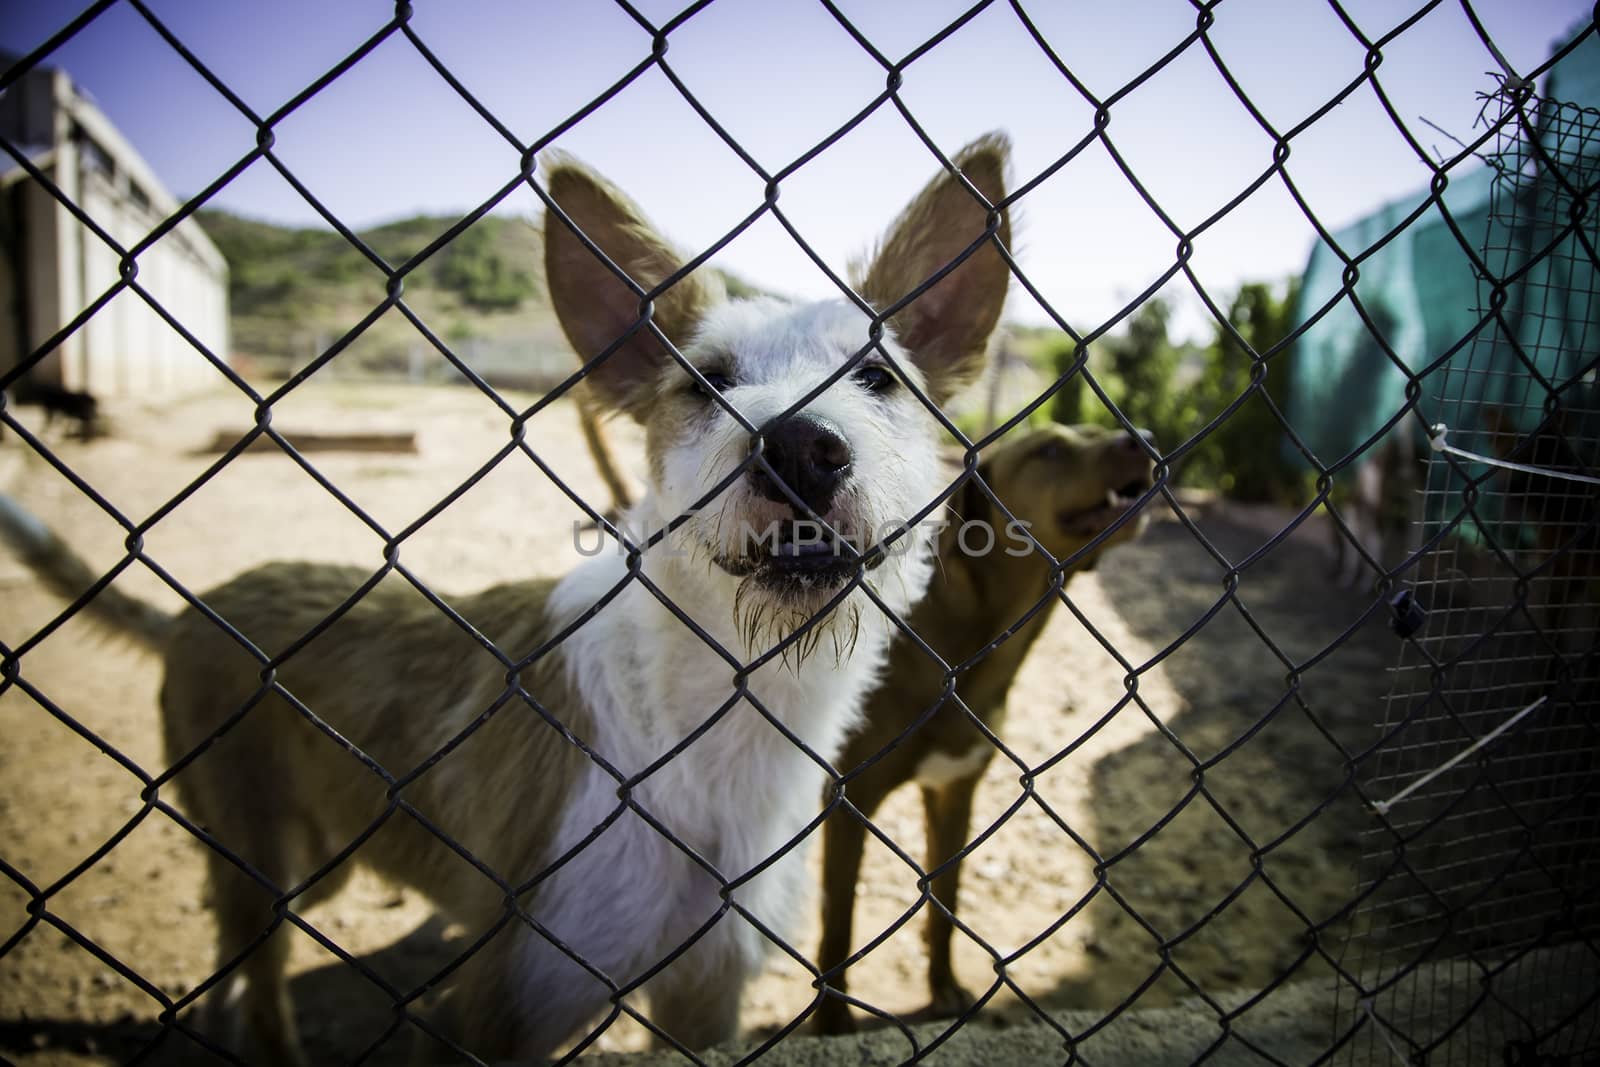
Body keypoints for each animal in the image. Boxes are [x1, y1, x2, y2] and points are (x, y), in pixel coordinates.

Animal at [0, 133, 1011, 1062]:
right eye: (706, 381)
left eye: (879, 378)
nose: (800, 447)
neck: (720, 707)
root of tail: (195, 608)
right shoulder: (510, 993)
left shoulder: (707, 988)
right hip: (261, 857)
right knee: (259, 974)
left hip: (308, 860)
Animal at [812, 422, 1152, 1036]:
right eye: (1049, 450)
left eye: (1097, 432)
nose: (1141, 437)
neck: (976, 644)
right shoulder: (851, 802)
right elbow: (839, 925)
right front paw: (832, 1024)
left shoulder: (955, 791)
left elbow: (945, 902)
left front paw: (943, 988)